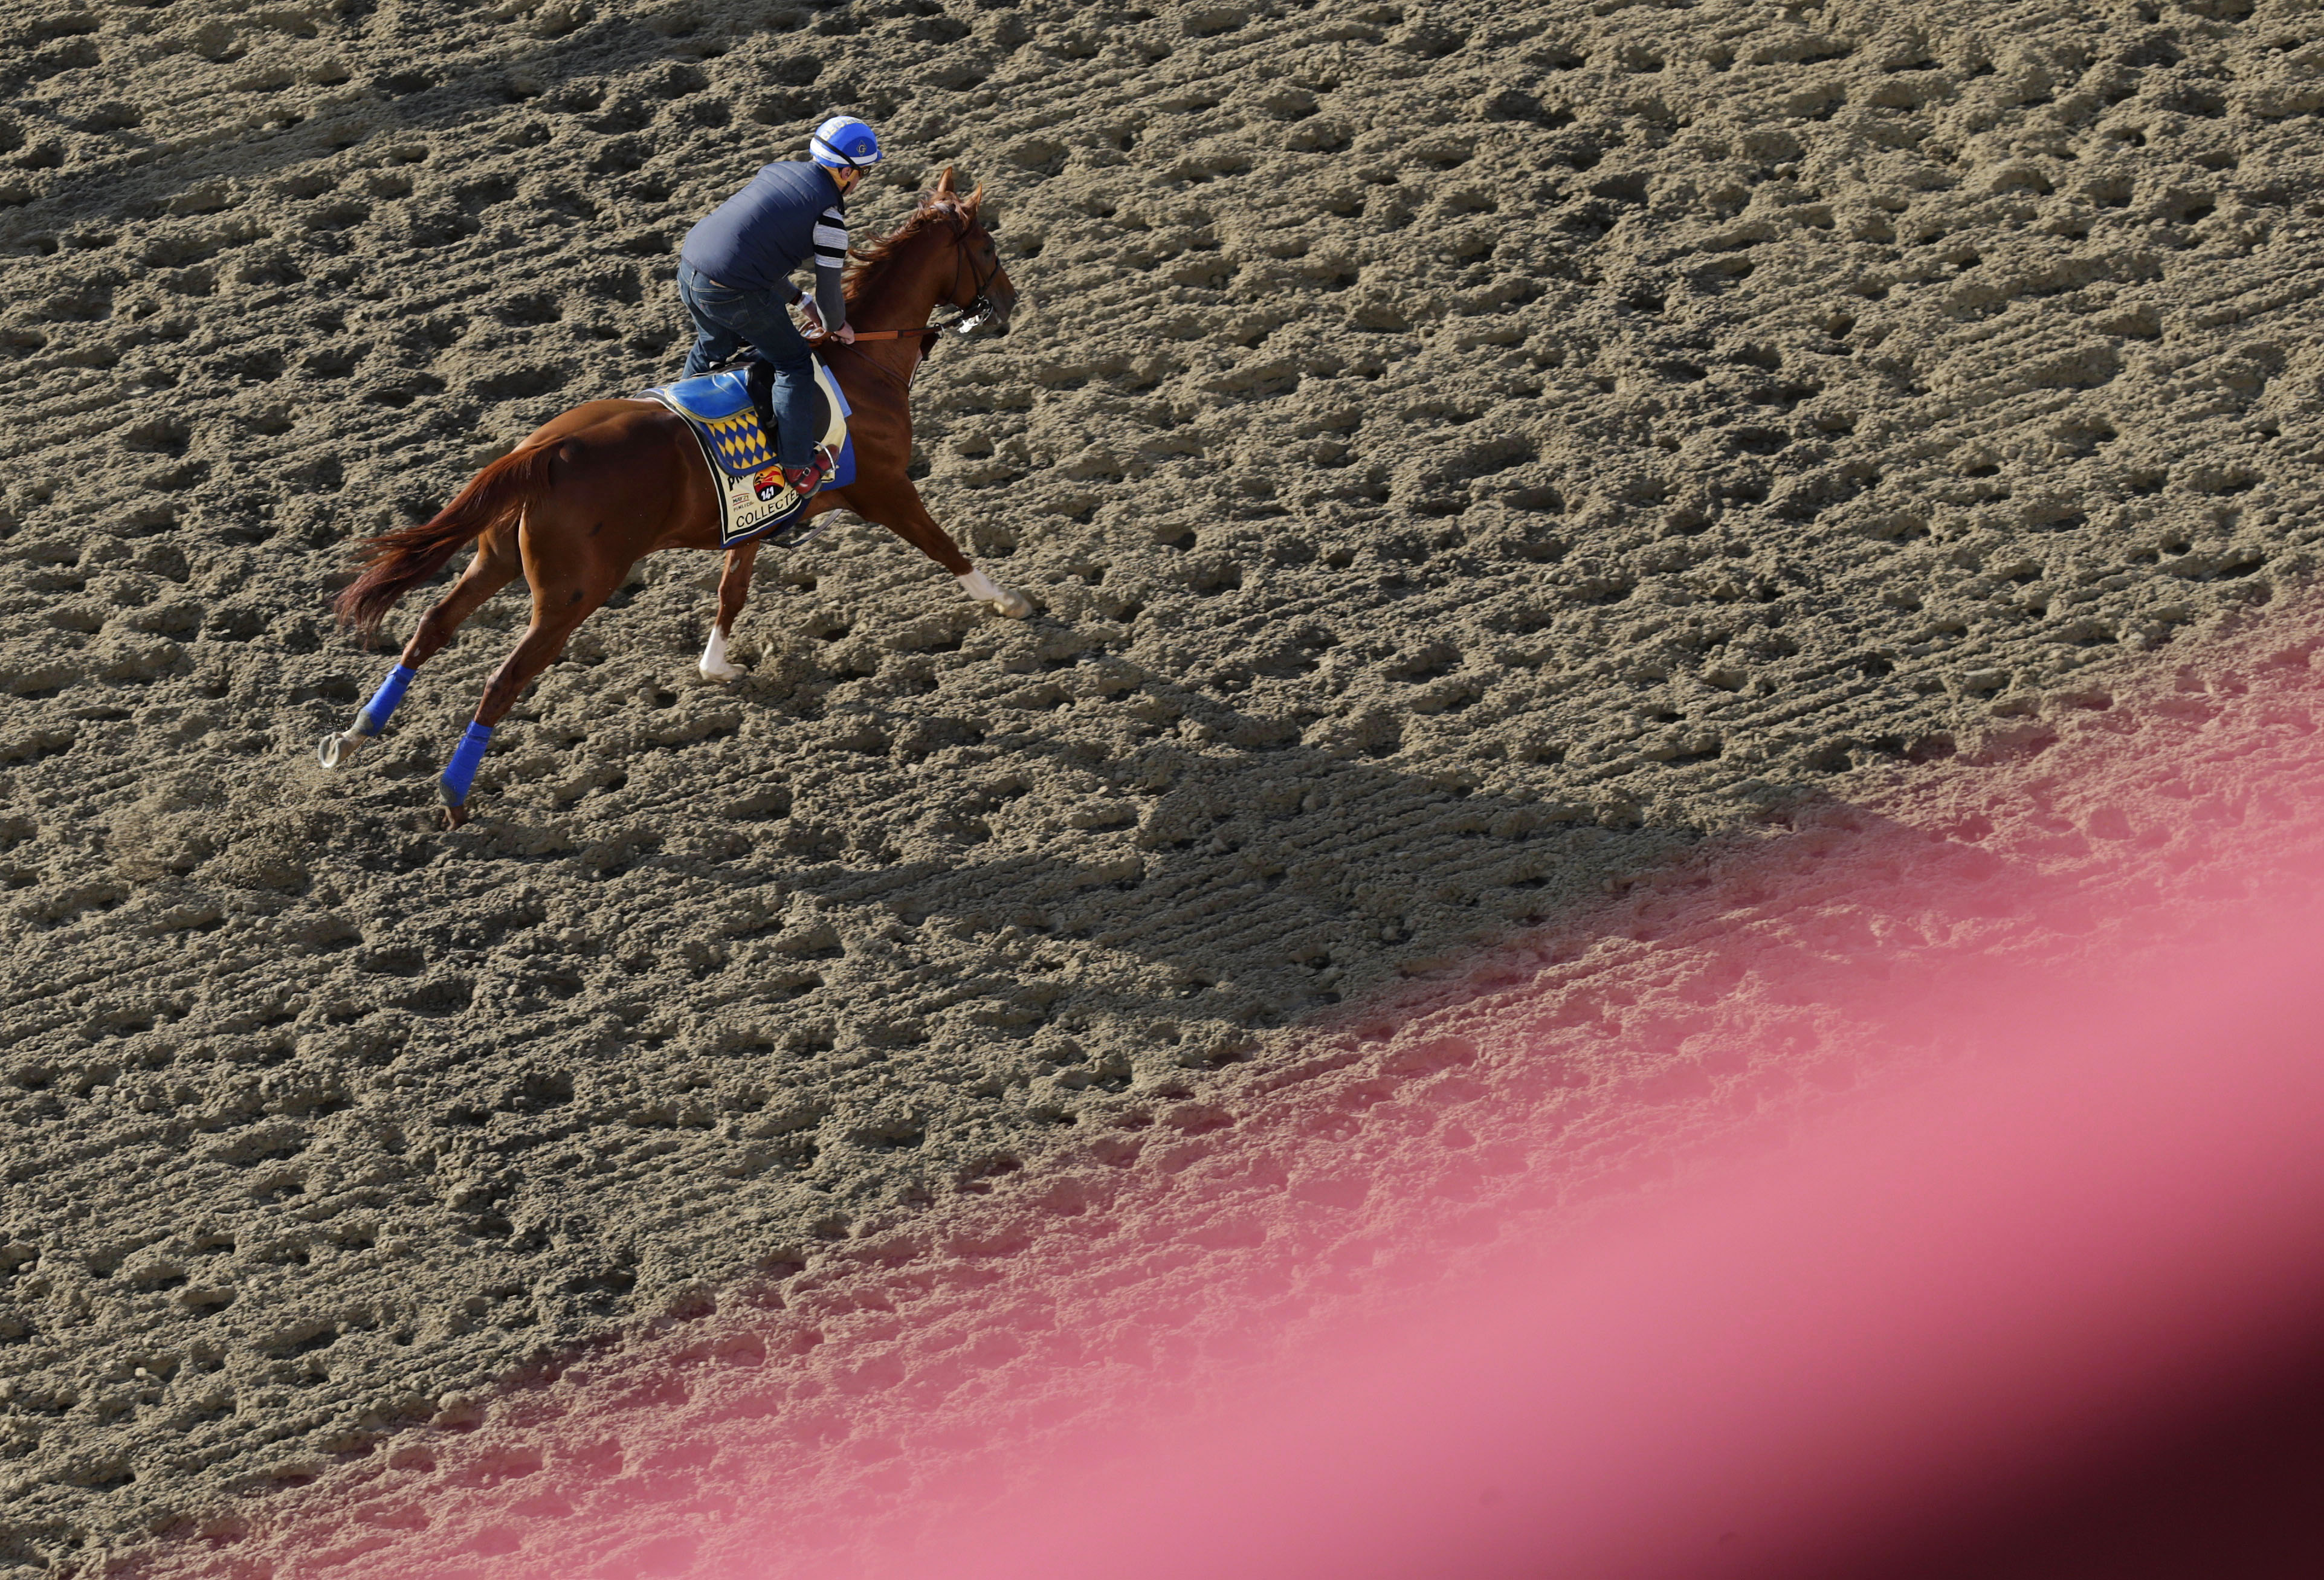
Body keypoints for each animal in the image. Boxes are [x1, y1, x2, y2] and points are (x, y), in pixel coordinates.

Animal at [316, 169, 1027, 827]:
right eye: (988, 246)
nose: (1009, 303)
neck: (861, 369)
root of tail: (547, 450)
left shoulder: (757, 520)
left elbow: (732, 590)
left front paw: (715, 665)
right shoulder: (887, 490)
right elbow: (945, 546)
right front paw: (1009, 600)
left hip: (495, 560)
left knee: (431, 629)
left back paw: (354, 736)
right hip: (571, 595)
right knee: (501, 681)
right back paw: (454, 796)